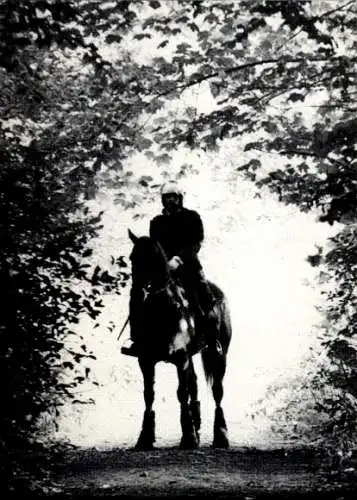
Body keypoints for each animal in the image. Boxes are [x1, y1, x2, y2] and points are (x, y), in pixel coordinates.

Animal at [125, 229, 231, 450]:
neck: (161, 312)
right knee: (195, 385)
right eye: (132, 258)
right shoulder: (145, 360)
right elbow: (149, 395)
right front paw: (145, 437)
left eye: (154, 259)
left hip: (219, 356)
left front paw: (188, 437)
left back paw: (220, 436)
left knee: (217, 391)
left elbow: (182, 393)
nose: (137, 293)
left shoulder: (181, 358)